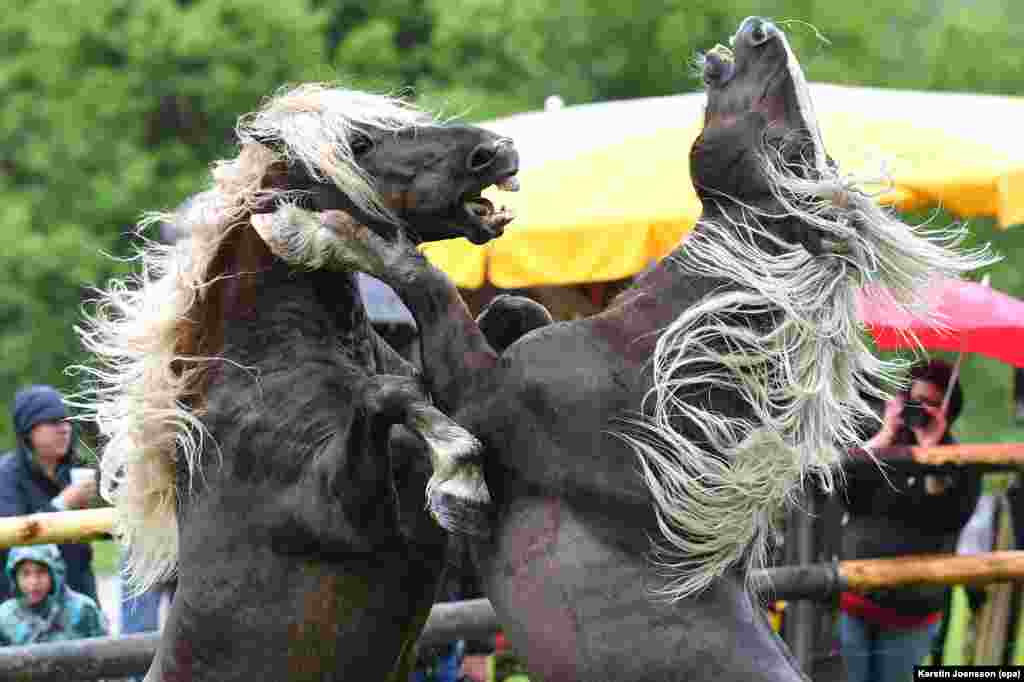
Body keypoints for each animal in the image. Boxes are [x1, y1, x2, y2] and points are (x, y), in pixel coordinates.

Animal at [74, 84, 520, 679]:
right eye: (359, 144)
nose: (493, 151)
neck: (273, 365)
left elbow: (512, 313)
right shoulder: (345, 514)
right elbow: (387, 397)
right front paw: (460, 477)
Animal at [249, 18, 991, 675]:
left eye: (788, 145)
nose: (761, 31)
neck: (637, 385)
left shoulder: (482, 394)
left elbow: (419, 276)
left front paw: (320, 230)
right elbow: (507, 311)